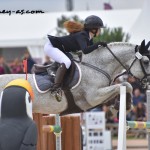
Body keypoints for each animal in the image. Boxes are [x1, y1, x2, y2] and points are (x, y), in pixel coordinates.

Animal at [0, 39, 150, 115]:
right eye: (146, 62)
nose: (148, 82)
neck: (97, 65)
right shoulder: (93, 97)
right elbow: (124, 85)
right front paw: (126, 105)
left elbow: (126, 85)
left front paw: (122, 105)